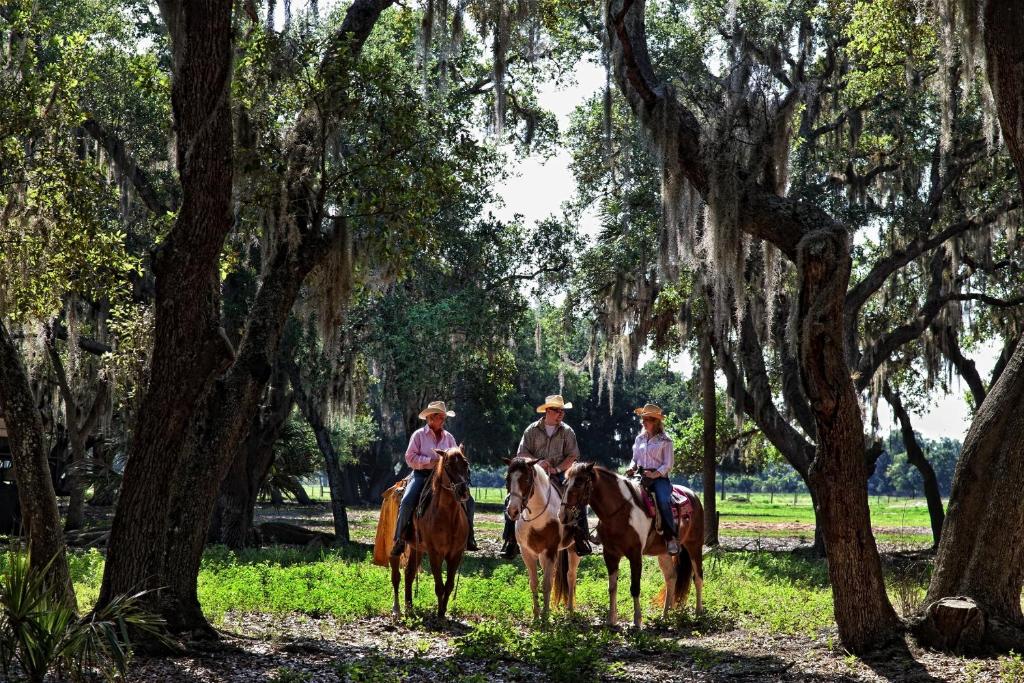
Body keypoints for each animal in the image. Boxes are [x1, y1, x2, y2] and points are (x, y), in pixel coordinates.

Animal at [391, 446, 471, 622]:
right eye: (448, 465)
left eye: (466, 464)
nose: (463, 491)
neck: (449, 517)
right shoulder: (435, 553)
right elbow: (439, 586)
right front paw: (439, 615)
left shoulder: (455, 554)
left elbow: (449, 585)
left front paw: (443, 612)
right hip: (399, 545)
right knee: (396, 574)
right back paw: (397, 610)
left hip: (417, 548)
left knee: (409, 574)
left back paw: (409, 608)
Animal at [505, 456, 585, 622]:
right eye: (508, 478)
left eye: (527, 479)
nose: (513, 511)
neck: (536, 516)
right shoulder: (527, 553)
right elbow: (534, 583)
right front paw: (536, 615)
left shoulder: (550, 551)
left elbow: (547, 584)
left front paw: (546, 616)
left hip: (573, 550)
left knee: (571, 576)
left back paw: (570, 610)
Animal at [561, 462, 704, 626]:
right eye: (565, 483)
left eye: (579, 483)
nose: (563, 515)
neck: (621, 511)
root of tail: (693, 496)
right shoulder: (610, 554)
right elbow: (612, 587)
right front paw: (611, 620)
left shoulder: (635, 554)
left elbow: (635, 587)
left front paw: (637, 621)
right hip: (664, 553)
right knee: (671, 578)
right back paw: (665, 616)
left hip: (694, 545)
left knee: (698, 577)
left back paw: (698, 613)